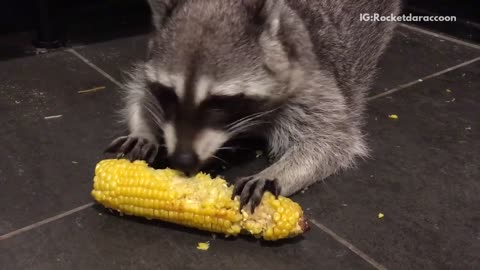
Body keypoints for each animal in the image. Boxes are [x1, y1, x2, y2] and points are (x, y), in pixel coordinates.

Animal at [106, 0, 402, 211]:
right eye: (168, 94)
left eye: (220, 101)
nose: (182, 160)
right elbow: (140, 93)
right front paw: (143, 130)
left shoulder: (312, 85)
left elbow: (331, 141)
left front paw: (275, 174)